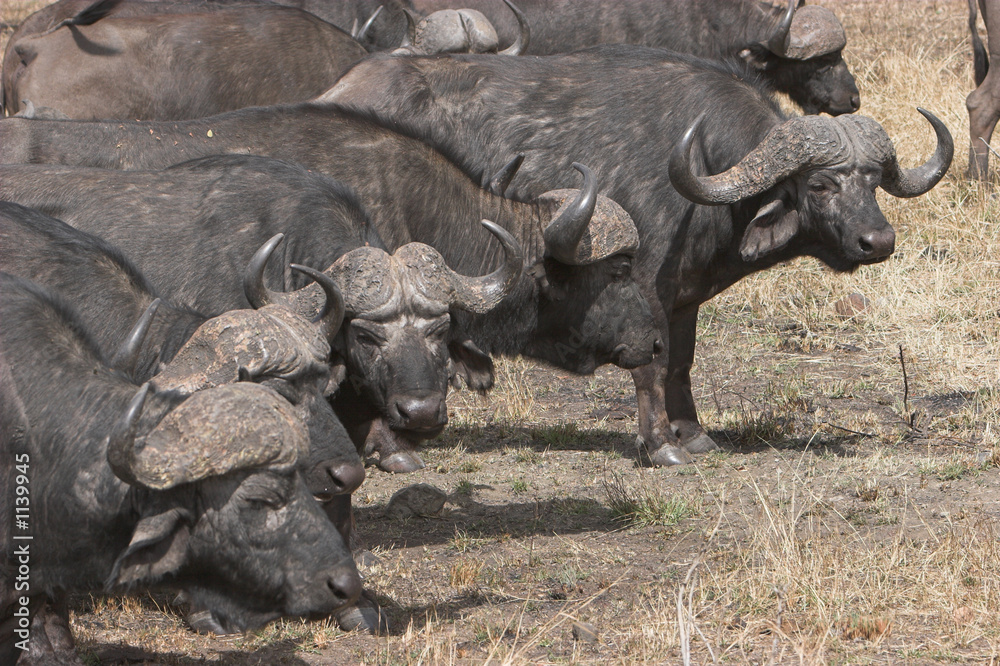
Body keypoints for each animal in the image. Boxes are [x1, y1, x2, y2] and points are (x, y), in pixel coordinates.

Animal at [322, 46, 952, 465]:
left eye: (873, 181)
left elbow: (680, 360)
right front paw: (661, 446)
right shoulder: (642, 283)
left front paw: (693, 433)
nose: (877, 241)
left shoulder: (684, 295)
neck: (707, 171)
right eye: (820, 185)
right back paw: (390, 450)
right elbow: (650, 361)